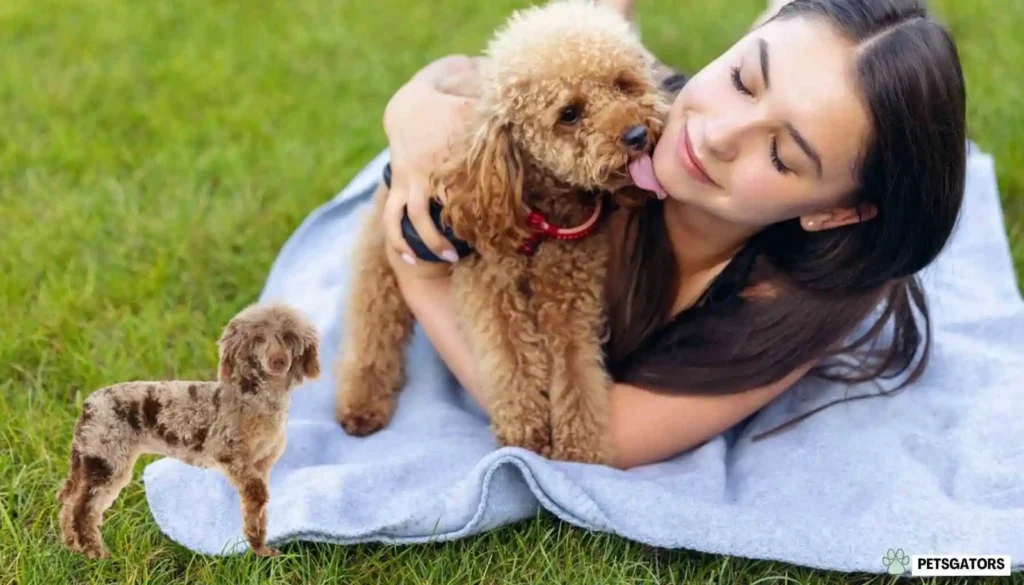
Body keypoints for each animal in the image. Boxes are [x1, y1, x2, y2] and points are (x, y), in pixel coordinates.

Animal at [57, 305, 319, 561]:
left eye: (289, 337)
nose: (278, 361)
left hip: (91, 460)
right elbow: (257, 495)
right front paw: (259, 549)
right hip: (107, 460)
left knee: (69, 503)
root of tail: (89, 405)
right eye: (258, 338)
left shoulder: (261, 464)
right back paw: (95, 553)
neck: (254, 397)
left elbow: (257, 506)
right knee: (83, 508)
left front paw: (261, 549)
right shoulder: (229, 453)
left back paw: (71, 545)